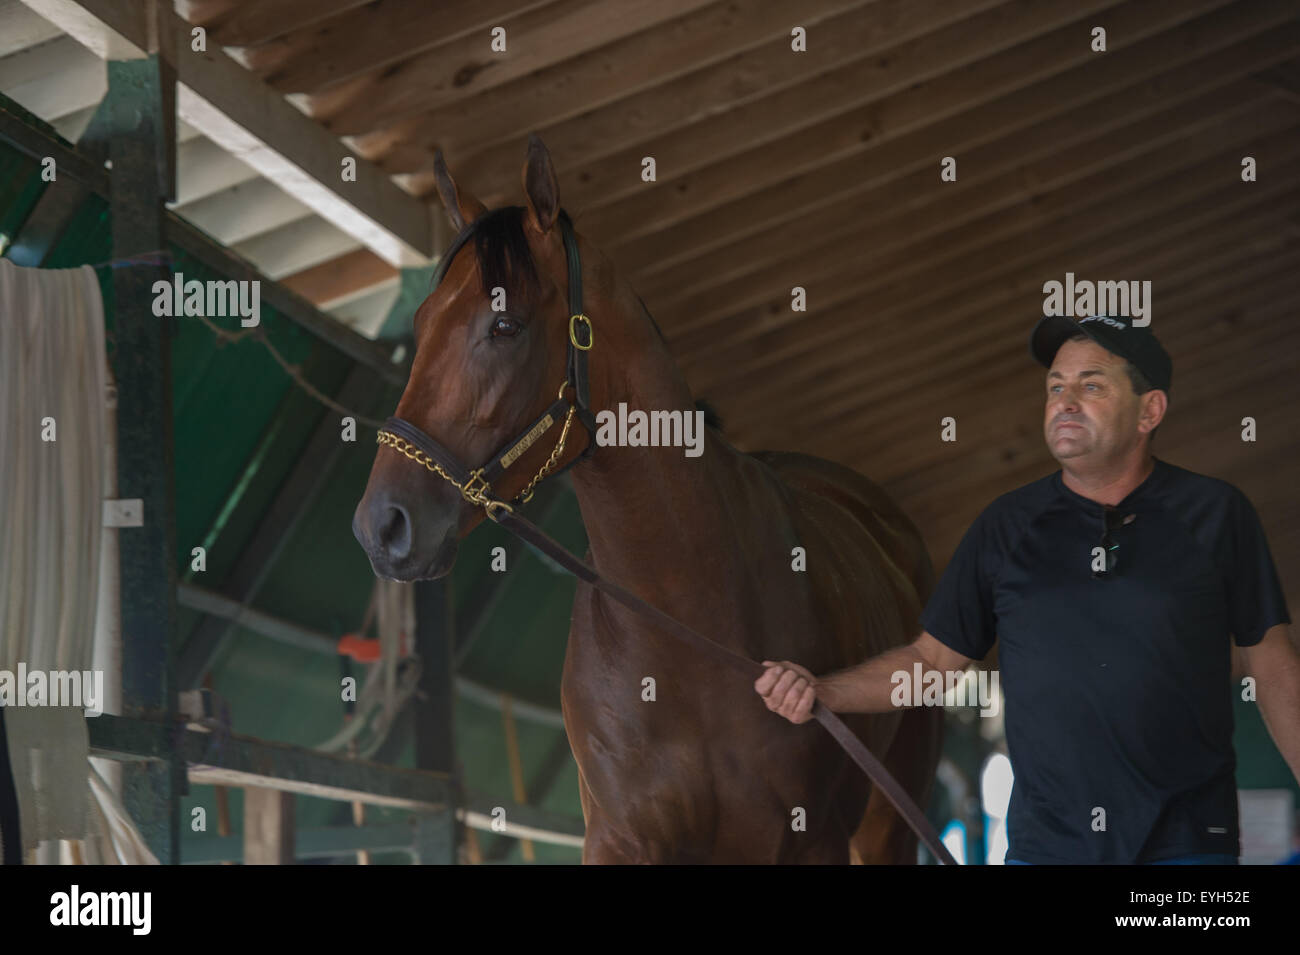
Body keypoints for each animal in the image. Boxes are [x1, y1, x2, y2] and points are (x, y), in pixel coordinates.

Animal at [353, 136, 946, 867]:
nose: (383, 525)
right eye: (422, 320)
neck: (688, 627)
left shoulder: (812, 842)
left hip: (890, 820)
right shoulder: (622, 837)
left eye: (505, 324)